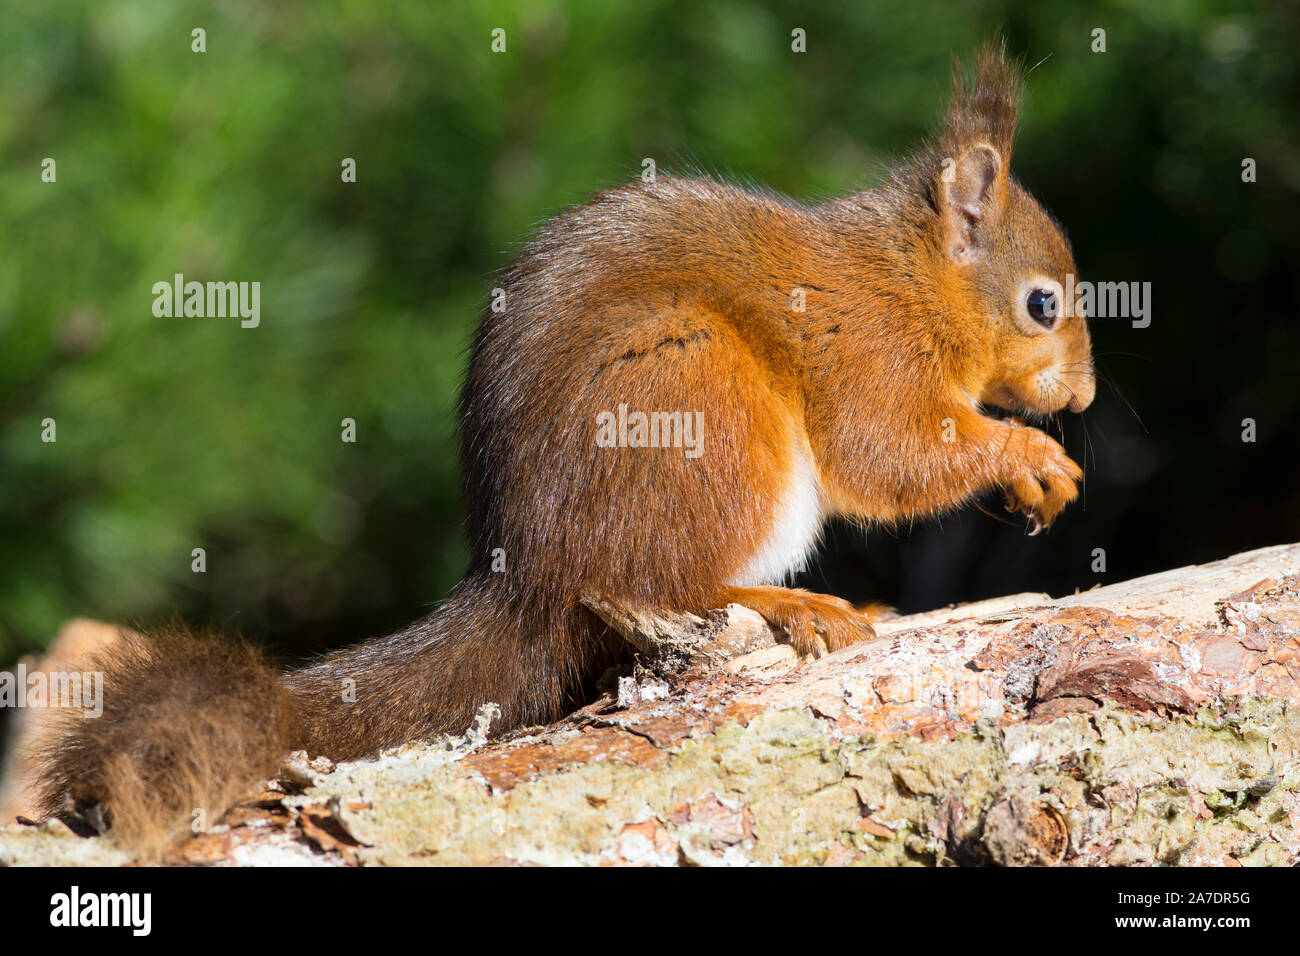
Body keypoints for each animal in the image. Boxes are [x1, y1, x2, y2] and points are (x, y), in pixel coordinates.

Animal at [35, 42, 1086, 853]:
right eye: (1043, 304)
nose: (1081, 396)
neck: (910, 283)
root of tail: (528, 571)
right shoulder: (866, 357)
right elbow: (890, 456)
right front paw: (1027, 458)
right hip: (699, 409)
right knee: (670, 584)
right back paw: (789, 601)